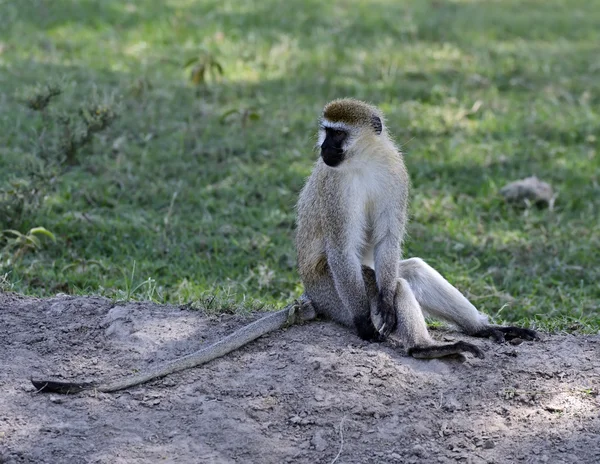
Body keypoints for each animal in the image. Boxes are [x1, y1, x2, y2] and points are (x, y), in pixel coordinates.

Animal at [30, 99, 536, 396]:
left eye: (337, 133)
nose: (323, 149)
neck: (363, 161)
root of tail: (309, 298)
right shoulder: (335, 191)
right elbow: (343, 250)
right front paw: (367, 326)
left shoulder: (396, 173)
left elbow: (389, 242)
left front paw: (395, 311)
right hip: (331, 292)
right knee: (380, 282)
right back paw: (422, 349)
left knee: (404, 274)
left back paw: (485, 329)